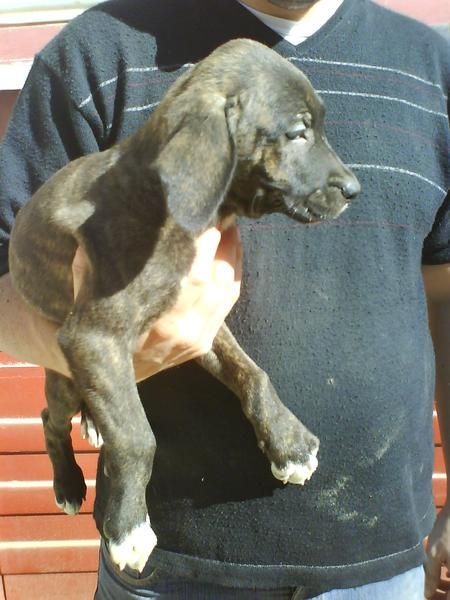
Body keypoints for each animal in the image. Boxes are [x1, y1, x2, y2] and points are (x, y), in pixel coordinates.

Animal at [8, 37, 360, 572]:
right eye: (299, 132)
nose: (354, 190)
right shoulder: (94, 336)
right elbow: (137, 438)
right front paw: (128, 528)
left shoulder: (202, 323)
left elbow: (252, 373)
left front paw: (289, 442)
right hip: (64, 372)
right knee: (51, 419)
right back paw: (68, 483)